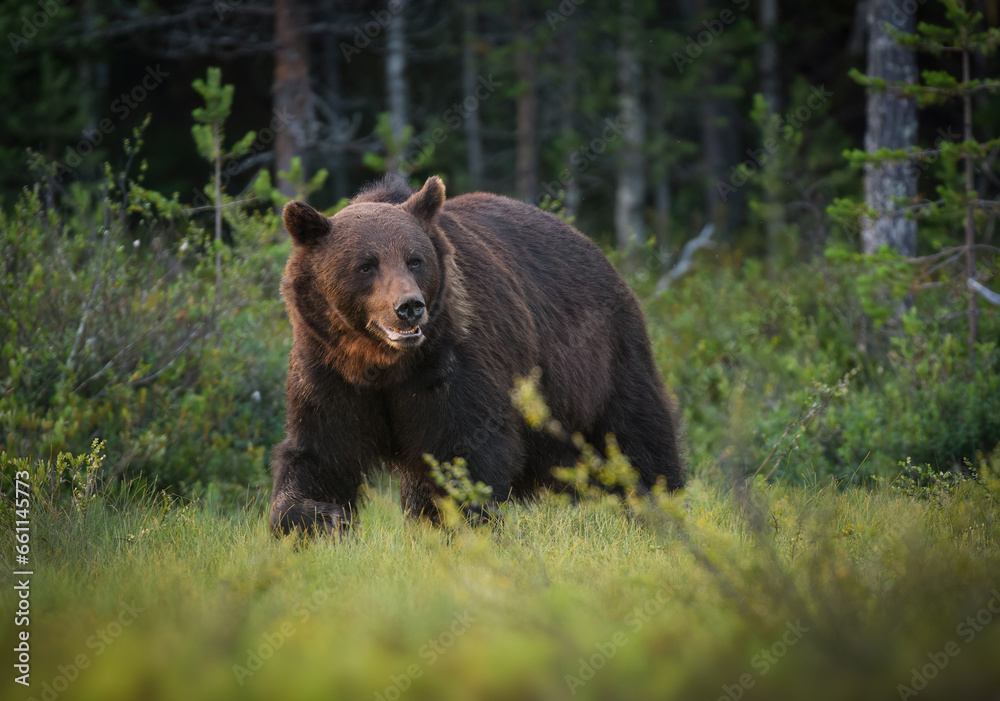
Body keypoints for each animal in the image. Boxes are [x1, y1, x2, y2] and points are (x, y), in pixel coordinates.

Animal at [270, 176, 684, 536]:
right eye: (366, 265)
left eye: (414, 259)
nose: (409, 307)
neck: (383, 363)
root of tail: (593, 247)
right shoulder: (327, 368)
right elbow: (319, 452)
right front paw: (318, 517)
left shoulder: (454, 361)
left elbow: (466, 449)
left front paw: (462, 521)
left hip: (601, 355)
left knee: (636, 428)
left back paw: (661, 503)